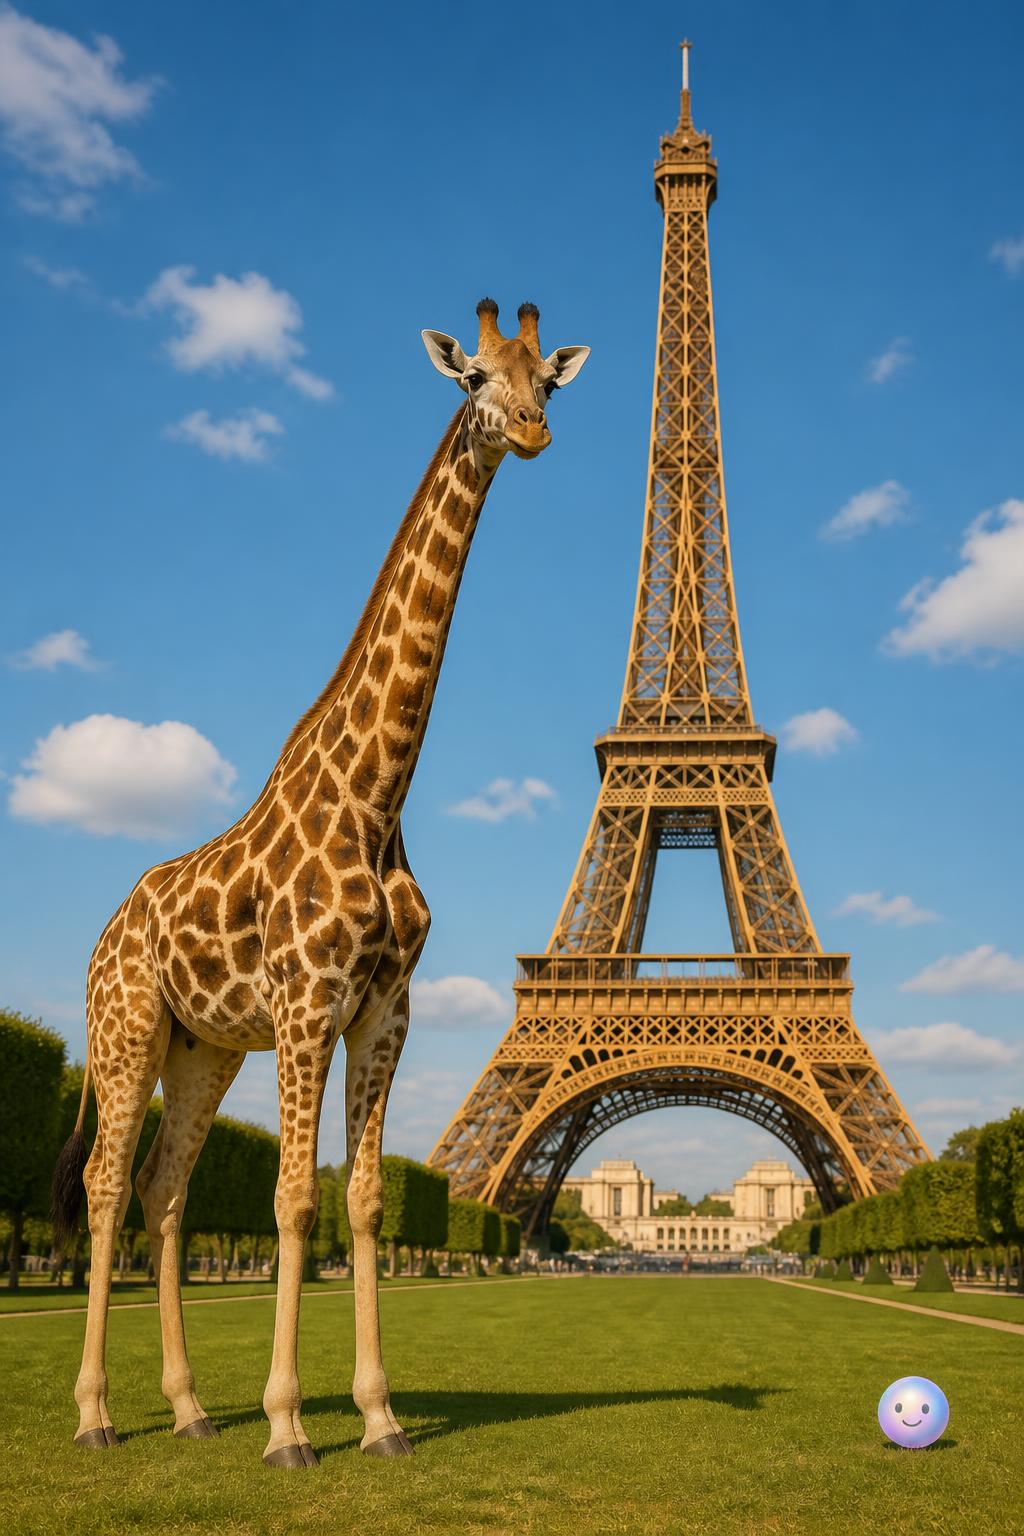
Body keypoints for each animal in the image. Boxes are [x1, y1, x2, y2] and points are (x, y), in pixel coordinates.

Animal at [52, 298, 589, 1468]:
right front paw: (292, 1425)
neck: (377, 795)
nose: (532, 430)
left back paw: (192, 1408)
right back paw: (99, 1414)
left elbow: (368, 1202)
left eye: (548, 381)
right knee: (107, 1184)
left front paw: (380, 1417)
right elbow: (296, 1196)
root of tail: (102, 934)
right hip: (126, 1030)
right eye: (474, 376)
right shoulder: (308, 1002)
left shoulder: (384, 1008)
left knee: (165, 1188)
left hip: (202, 1048)